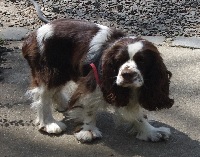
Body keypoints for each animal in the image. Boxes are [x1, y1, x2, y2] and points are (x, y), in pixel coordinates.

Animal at [22, 0, 173, 142]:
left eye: (142, 61)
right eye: (118, 60)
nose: (127, 75)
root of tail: (33, 35)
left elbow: (139, 115)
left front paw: (151, 131)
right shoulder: (92, 83)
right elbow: (89, 107)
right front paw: (88, 131)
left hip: (63, 71)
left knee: (56, 90)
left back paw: (65, 105)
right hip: (49, 72)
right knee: (43, 97)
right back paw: (49, 124)